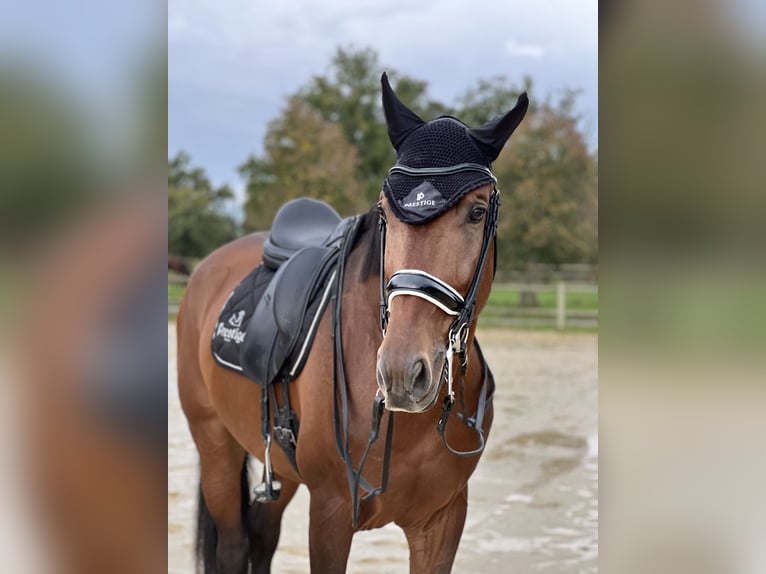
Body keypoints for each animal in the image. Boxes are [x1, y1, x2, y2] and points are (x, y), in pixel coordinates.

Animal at [178, 74, 532, 572]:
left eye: (477, 212)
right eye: (384, 212)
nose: (402, 372)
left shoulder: (443, 521)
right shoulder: (330, 514)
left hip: (280, 466)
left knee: (263, 535)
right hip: (215, 444)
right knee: (232, 546)